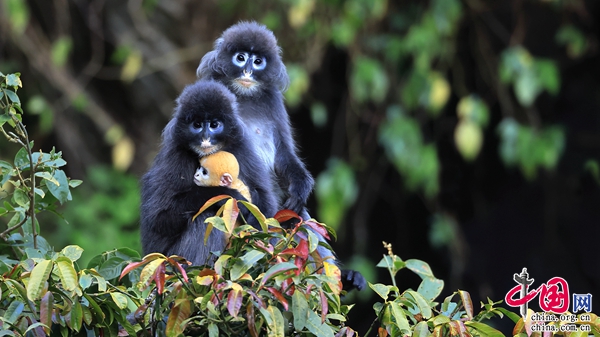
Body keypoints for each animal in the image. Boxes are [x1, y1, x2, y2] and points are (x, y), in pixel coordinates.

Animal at [141, 79, 278, 266]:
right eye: (197, 125)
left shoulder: (242, 147)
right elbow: (159, 217)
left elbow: (265, 200)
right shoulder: (176, 155)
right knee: (204, 216)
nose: (205, 138)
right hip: (169, 259)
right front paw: (230, 196)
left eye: (214, 125)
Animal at [197, 21, 366, 288]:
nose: (247, 71)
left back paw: (342, 278)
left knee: (301, 218)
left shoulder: (273, 100)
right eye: (240, 57)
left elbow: (284, 154)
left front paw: (302, 186)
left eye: (258, 62)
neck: (244, 95)